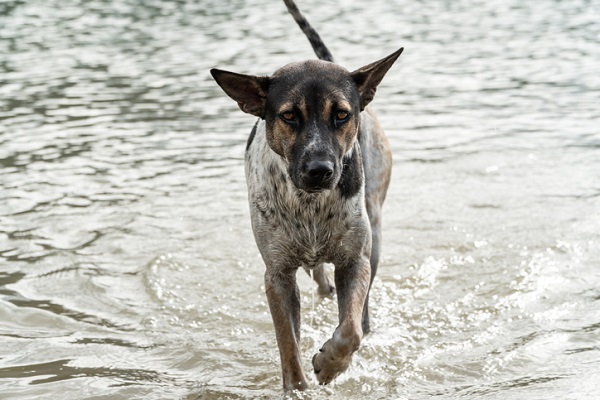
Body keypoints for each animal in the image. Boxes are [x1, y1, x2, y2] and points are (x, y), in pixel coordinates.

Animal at [211, 0, 404, 390]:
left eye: (341, 114)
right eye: (289, 116)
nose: (320, 170)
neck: (310, 205)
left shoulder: (355, 261)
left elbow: (350, 331)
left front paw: (330, 363)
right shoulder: (277, 275)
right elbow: (288, 347)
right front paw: (297, 386)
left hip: (374, 230)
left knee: (361, 312)